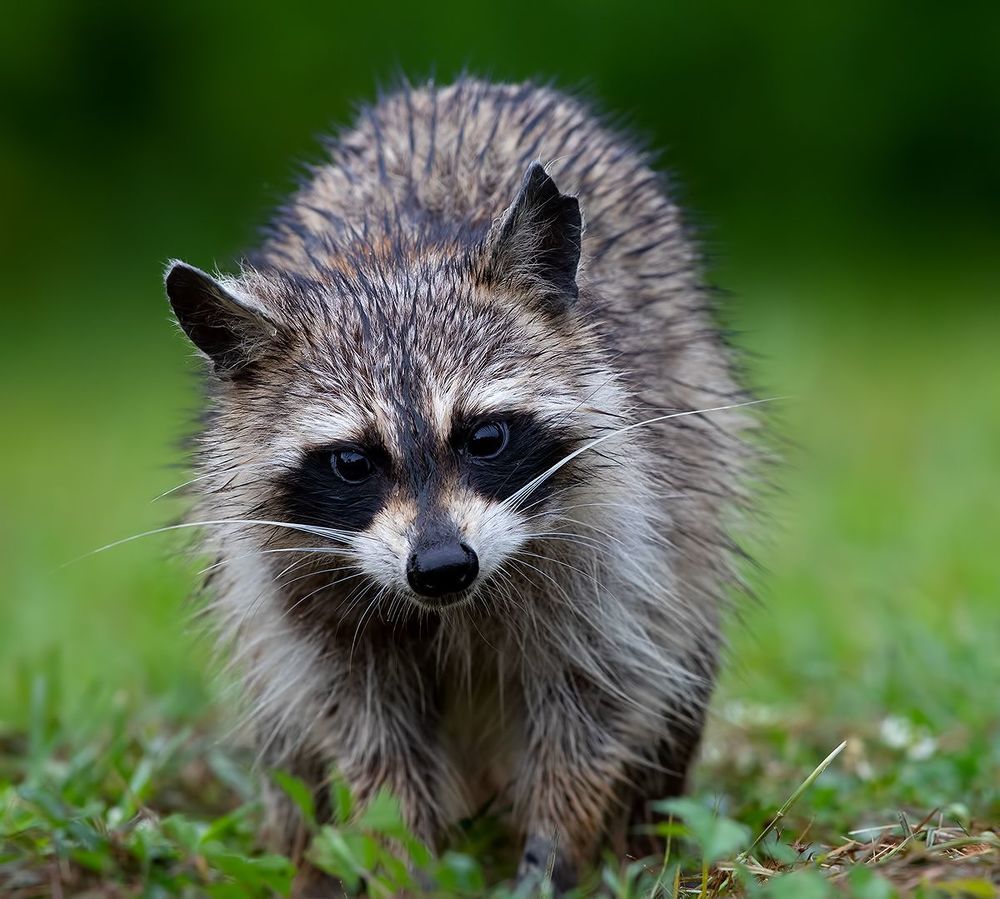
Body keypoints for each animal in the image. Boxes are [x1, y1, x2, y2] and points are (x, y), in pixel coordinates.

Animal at [164, 78, 755, 892]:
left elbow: (597, 693)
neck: (401, 258)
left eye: (485, 438)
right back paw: (303, 853)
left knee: (678, 660)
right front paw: (399, 855)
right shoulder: (301, 588)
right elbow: (364, 729)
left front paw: (557, 843)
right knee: (285, 733)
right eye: (353, 462)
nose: (442, 567)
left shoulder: (620, 540)